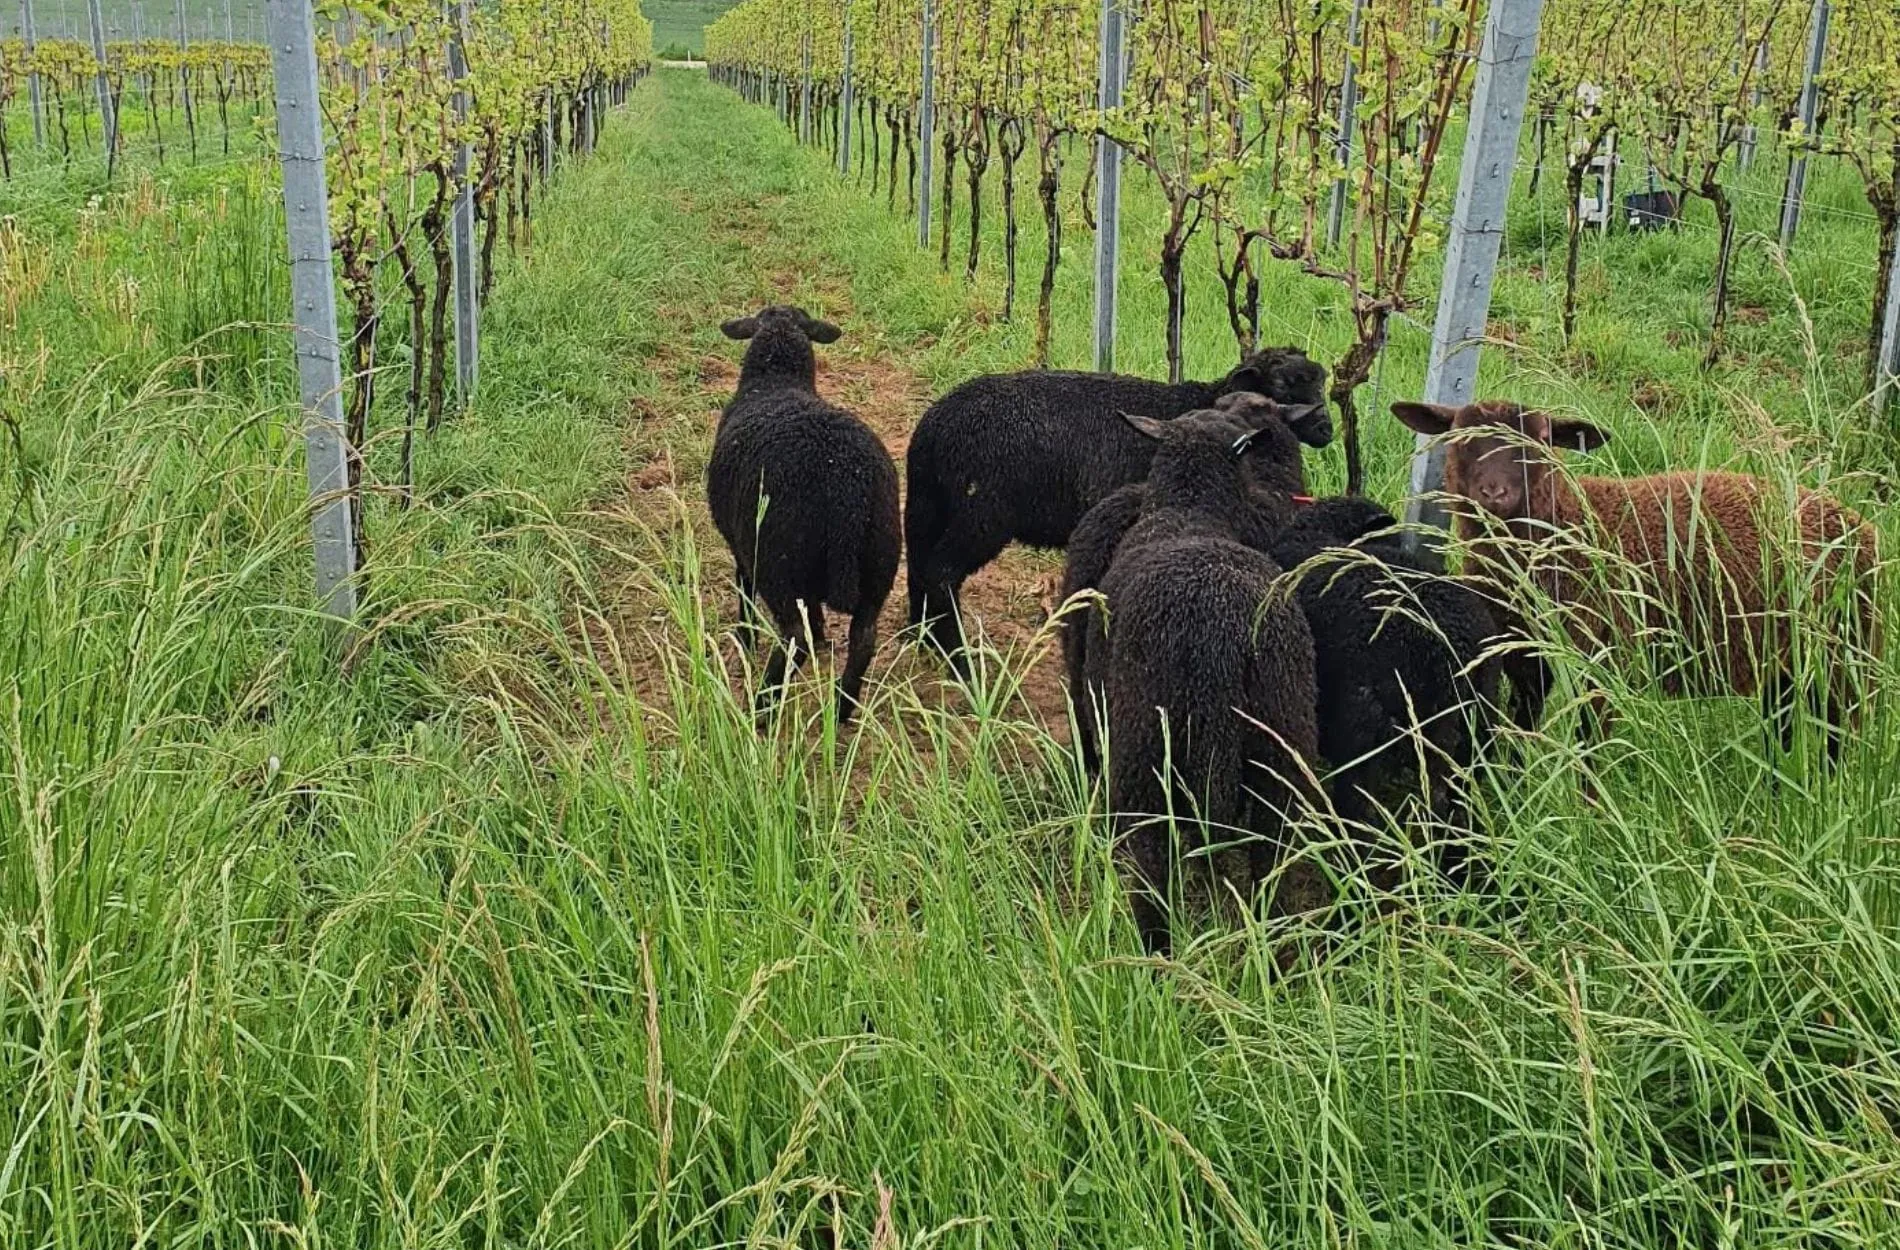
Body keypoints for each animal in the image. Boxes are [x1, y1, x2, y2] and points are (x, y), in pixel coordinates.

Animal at [706, 306, 901, 725]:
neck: (776, 381)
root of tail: (845, 488)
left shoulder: (743, 548)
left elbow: (743, 591)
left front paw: (745, 638)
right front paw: (825, 642)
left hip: (779, 562)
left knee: (796, 635)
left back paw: (762, 709)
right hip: (879, 560)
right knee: (863, 639)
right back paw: (843, 709)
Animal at [905, 347, 1328, 666]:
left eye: (1321, 379)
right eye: (1283, 384)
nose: (1326, 428)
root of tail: (934, 426)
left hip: (930, 504)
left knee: (919, 562)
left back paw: (920, 638)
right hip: (981, 513)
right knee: (942, 571)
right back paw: (958, 658)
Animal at [1096, 396, 1324, 954]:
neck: (1190, 514)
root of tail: (1215, 631)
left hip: (1146, 751)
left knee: (1154, 863)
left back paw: (1157, 953)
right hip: (1279, 748)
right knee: (1271, 860)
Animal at [1391, 400, 1879, 754]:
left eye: (1544, 439)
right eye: (1459, 438)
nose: (1495, 493)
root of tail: (1861, 524)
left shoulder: (1603, 664)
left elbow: (1588, 751)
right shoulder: (1527, 663)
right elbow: (1516, 736)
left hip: (1845, 656)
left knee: (1839, 736)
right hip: (1787, 665)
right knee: (1784, 731)